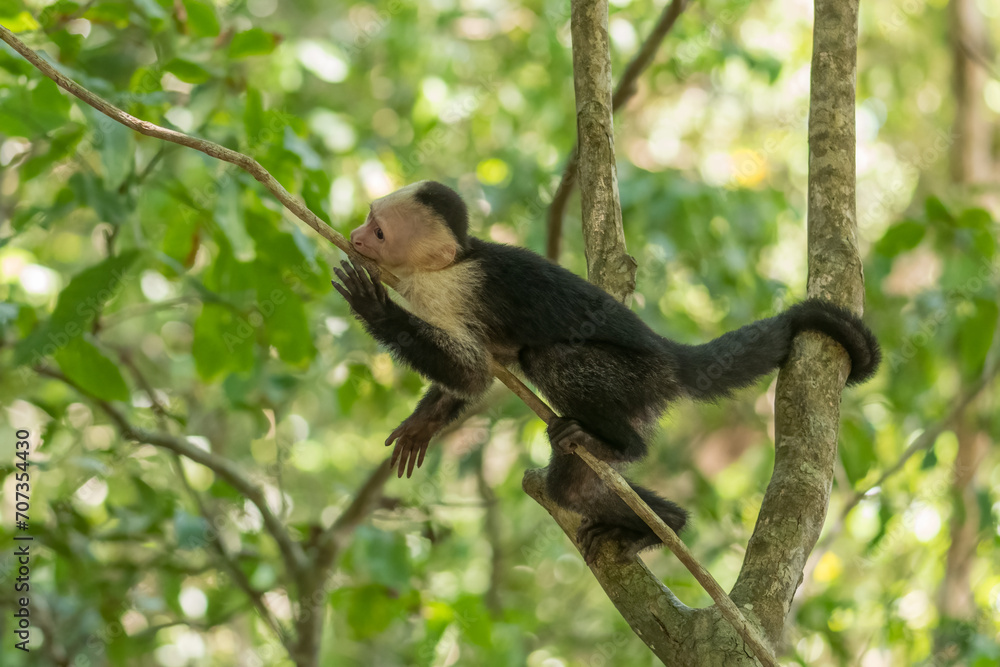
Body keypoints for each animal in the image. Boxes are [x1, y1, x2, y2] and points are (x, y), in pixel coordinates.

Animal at [332, 180, 881, 563]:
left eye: (379, 232)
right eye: (369, 219)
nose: (355, 236)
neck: (450, 262)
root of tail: (670, 357)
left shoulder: (448, 290)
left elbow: (471, 372)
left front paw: (375, 310)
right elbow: (475, 378)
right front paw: (422, 424)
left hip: (637, 378)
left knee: (550, 361)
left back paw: (620, 448)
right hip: (639, 400)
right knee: (570, 489)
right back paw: (662, 521)